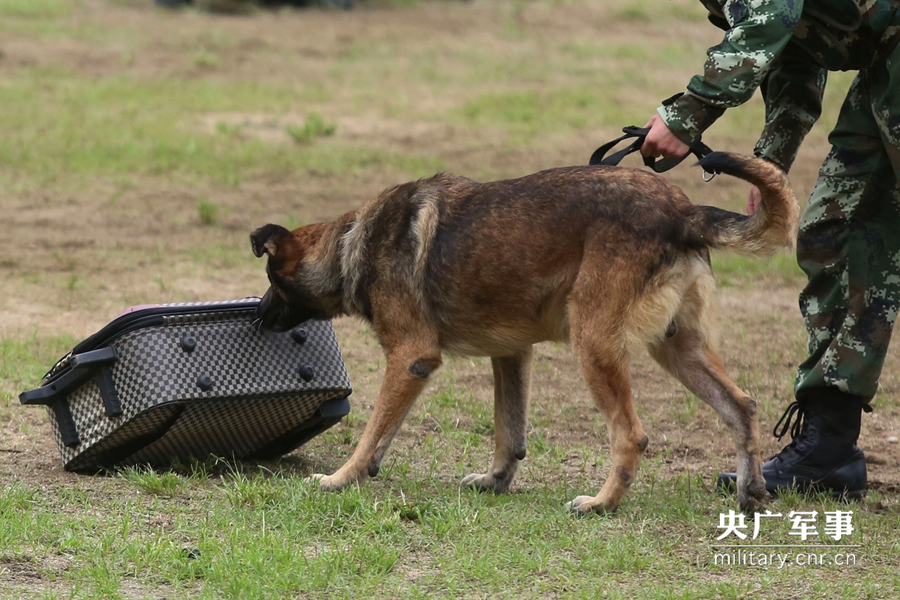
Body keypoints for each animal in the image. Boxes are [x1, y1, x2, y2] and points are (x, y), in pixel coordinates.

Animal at [251, 152, 796, 512]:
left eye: (272, 280)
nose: (257, 316)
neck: (349, 242)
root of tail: (682, 212)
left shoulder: (411, 358)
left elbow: (371, 431)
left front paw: (340, 478)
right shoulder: (509, 355)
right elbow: (505, 430)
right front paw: (495, 480)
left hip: (593, 344)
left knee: (632, 435)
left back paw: (601, 504)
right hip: (677, 348)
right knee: (741, 406)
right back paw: (751, 492)